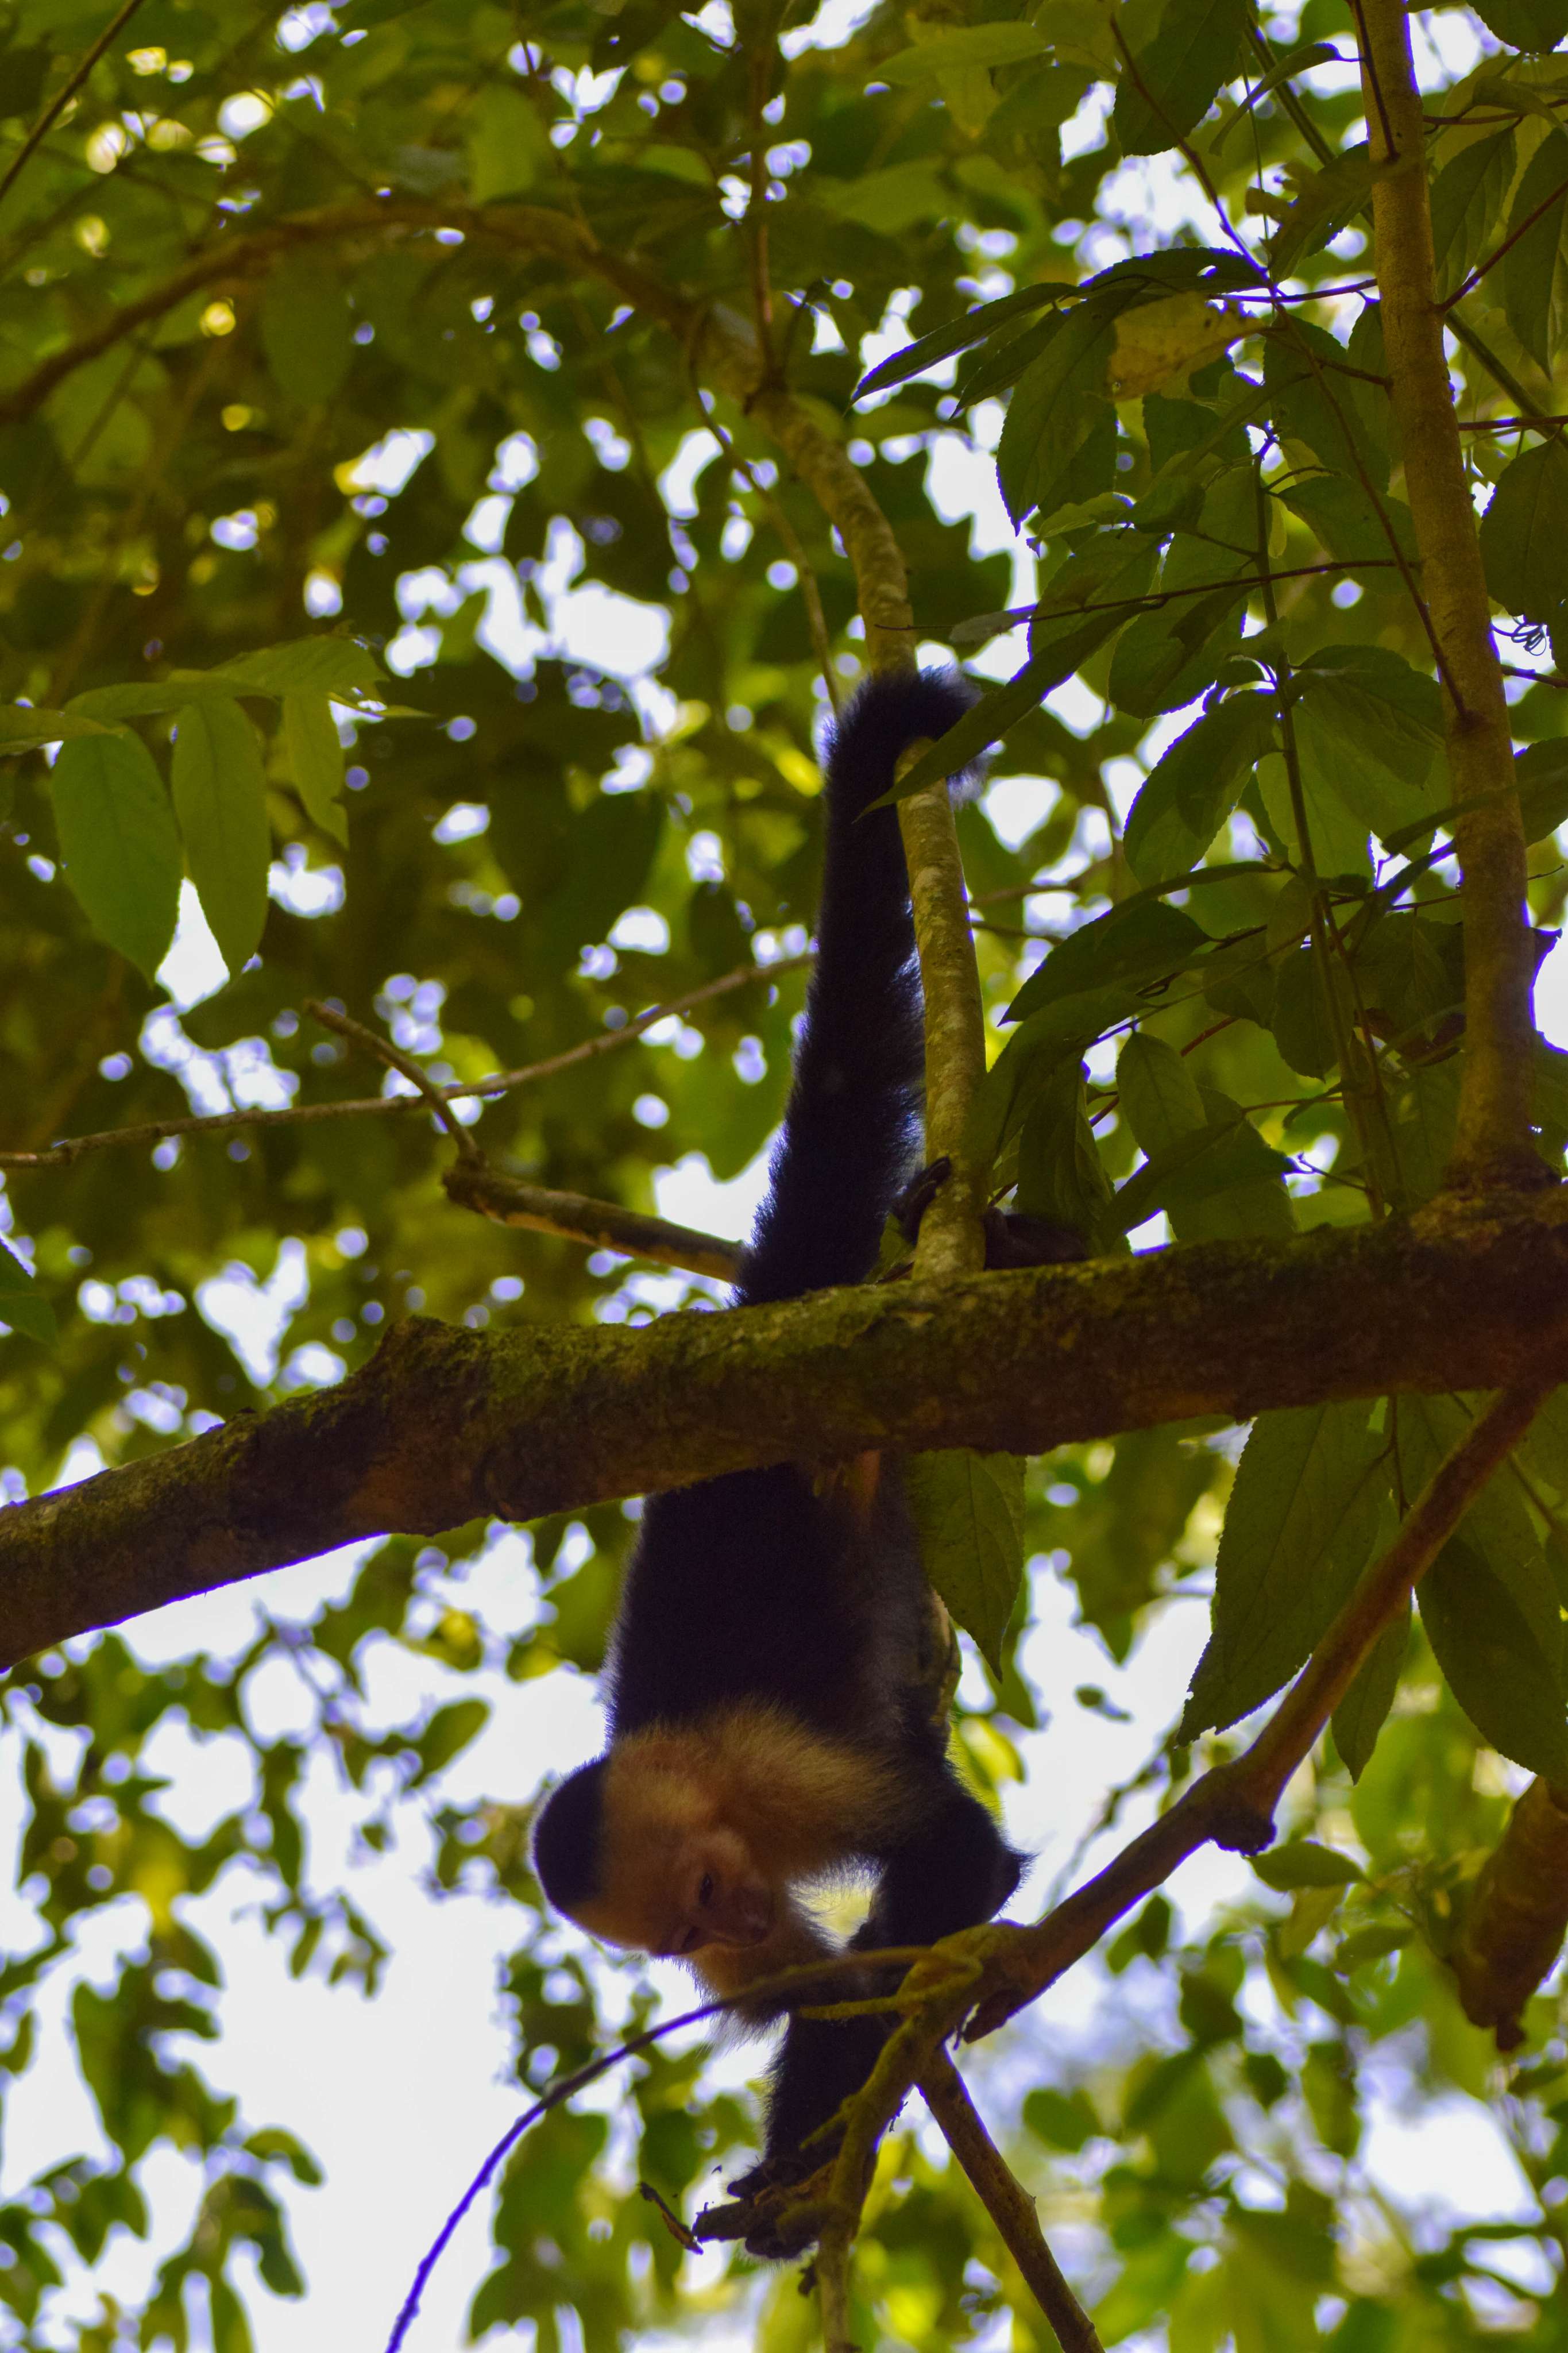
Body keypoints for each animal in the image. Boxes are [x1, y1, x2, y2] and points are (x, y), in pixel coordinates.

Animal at [531, 669, 1026, 2256]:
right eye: (689, 1930)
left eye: (702, 1890)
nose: (736, 1932)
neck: (700, 1781)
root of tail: (762, 1318)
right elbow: (831, 1980)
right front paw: (801, 2137)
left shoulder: (771, 1771)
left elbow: (950, 1865)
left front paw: (807, 2165)